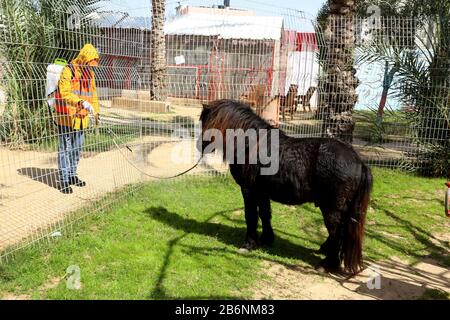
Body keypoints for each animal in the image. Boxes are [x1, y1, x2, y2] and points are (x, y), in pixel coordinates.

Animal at [198, 99, 372, 274]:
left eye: (204, 121)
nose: (200, 146)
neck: (251, 144)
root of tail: (359, 162)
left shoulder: (249, 190)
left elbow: (251, 215)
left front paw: (248, 244)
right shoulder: (262, 192)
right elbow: (265, 214)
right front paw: (266, 240)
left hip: (332, 209)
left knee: (337, 232)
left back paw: (328, 264)